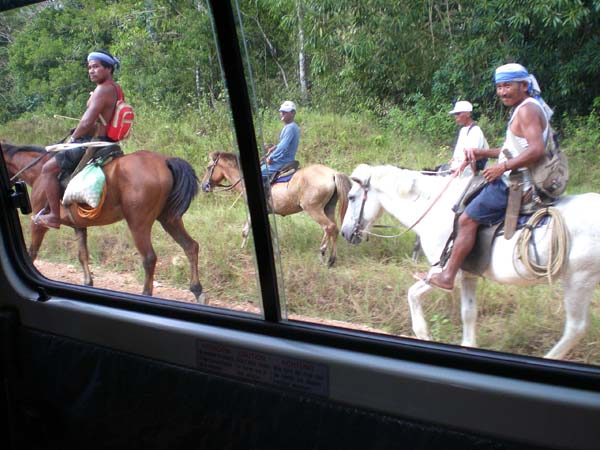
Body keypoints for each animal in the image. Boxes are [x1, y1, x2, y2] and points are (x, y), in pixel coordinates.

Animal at [1, 143, 204, 302]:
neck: (38, 173)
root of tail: (164, 161)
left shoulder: (38, 224)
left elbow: (31, 253)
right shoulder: (79, 226)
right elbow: (82, 255)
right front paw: (88, 283)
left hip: (138, 223)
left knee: (149, 258)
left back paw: (147, 295)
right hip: (169, 219)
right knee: (190, 246)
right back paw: (197, 291)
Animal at [202, 151, 352, 268]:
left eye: (209, 167)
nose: (204, 186)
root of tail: (332, 173)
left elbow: (245, 231)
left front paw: (242, 250)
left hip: (313, 209)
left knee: (329, 227)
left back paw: (325, 254)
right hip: (328, 208)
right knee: (332, 229)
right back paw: (328, 257)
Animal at [342, 163, 600, 360]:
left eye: (352, 197)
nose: (345, 233)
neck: (434, 208)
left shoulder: (445, 272)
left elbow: (413, 294)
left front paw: (423, 334)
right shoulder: (468, 275)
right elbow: (469, 312)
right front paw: (468, 345)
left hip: (579, 280)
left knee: (575, 328)